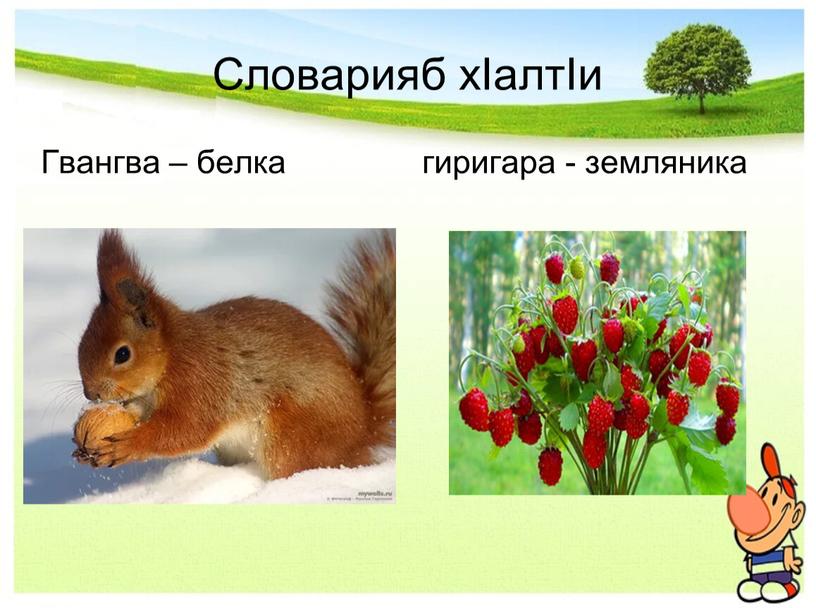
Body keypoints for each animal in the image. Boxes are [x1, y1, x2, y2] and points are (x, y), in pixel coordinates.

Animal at [75, 229, 395, 480]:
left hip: (292, 437)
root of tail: (364, 429)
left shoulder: (200, 382)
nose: (91, 394)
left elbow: (184, 429)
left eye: (122, 354)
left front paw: (127, 445)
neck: (171, 354)